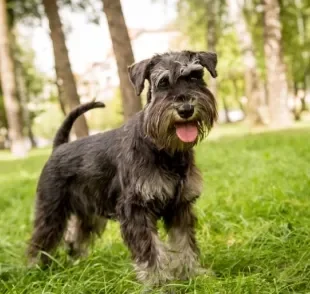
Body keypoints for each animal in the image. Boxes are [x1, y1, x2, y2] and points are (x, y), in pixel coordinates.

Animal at [28, 50, 218, 284]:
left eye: (195, 76)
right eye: (163, 83)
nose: (186, 109)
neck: (164, 149)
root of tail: (58, 147)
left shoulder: (180, 206)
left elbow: (184, 243)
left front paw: (192, 274)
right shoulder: (135, 208)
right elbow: (149, 248)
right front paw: (158, 281)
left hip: (89, 214)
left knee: (74, 239)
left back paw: (78, 264)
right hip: (52, 210)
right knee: (41, 239)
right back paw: (36, 269)